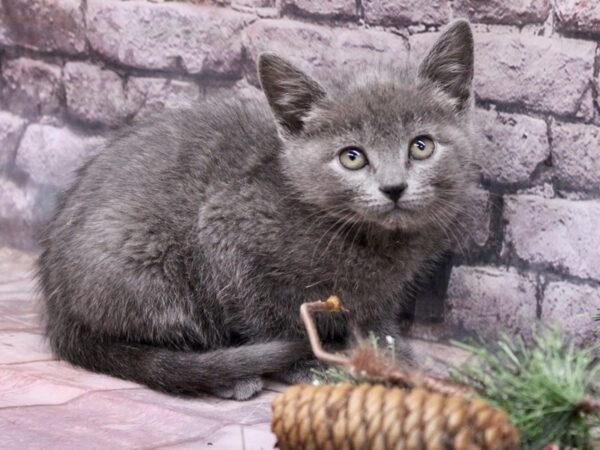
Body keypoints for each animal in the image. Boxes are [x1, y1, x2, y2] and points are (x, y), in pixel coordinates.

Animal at [37, 21, 476, 400]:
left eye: (421, 146)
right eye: (351, 157)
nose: (394, 187)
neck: (368, 239)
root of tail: (57, 307)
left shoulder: (382, 294)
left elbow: (376, 319)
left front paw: (392, 354)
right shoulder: (225, 228)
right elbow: (265, 314)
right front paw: (308, 362)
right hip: (145, 264)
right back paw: (226, 374)